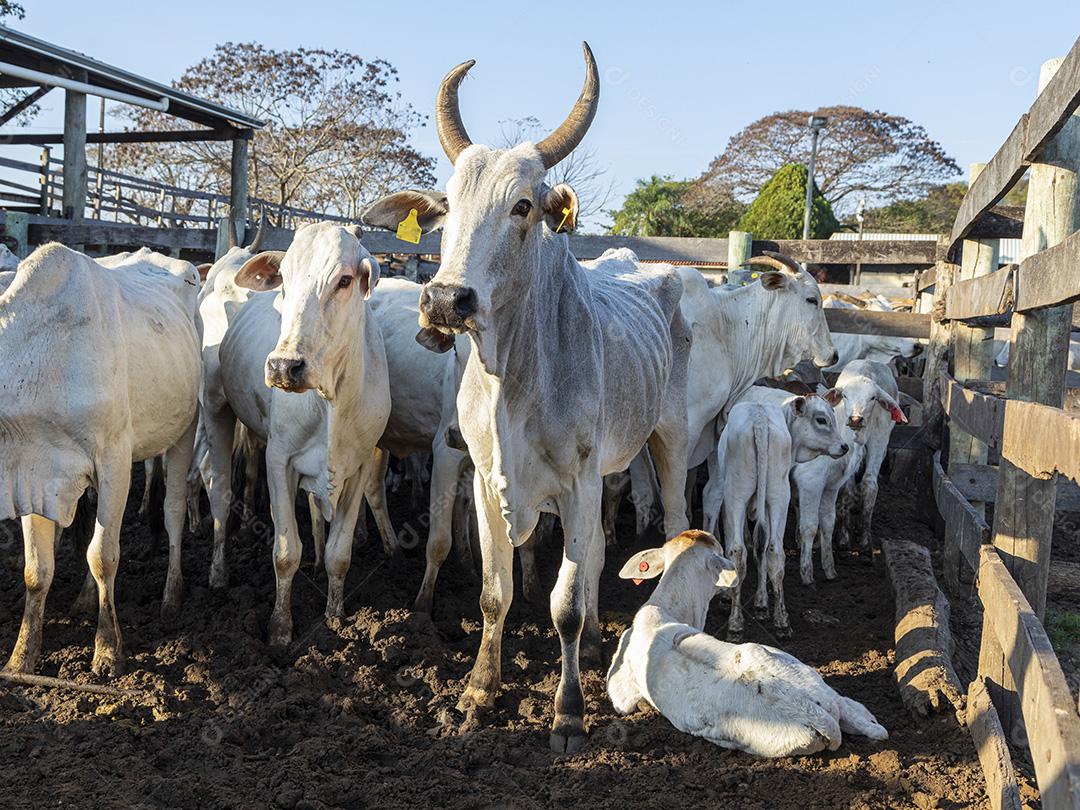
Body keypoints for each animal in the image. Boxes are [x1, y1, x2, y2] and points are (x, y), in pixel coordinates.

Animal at [0, 244, 200, 675]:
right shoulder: (32, 474)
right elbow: (36, 569)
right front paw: (22, 655)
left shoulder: (115, 462)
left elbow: (103, 555)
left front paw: (108, 649)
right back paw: (83, 599)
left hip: (185, 428)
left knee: (173, 510)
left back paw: (172, 596)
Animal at [204, 222, 392, 646]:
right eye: (285, 280)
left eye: (344, 280)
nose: (283, 366)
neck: (331, 398)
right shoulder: (279, 460)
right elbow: (286, 551)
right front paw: (279, 627)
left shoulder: (359, 466)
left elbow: (340, 553)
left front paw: (335, 616)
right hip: (214, 408)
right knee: (220, 494)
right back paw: (219, 572)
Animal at [363, 43, 691, 752]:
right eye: (447, 208)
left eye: (521, 206)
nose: (444, 299)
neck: (511, 381)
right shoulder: (488, 481)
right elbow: (496, 592)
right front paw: (479, 692)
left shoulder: (575, 483)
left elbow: (563, 605)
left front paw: (568, 714)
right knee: (594, 553)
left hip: (669, 441)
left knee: (668, 523)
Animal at [703, 395, 847, 638]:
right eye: (821, 419)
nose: (844, 446)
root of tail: (760, 421)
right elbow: (762, 549)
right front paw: (761, 604)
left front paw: (749, 602)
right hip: (778, 496)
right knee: (774, 551)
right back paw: (781, 622)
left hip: (738, 497)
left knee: (739, 551)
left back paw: (736, 624)